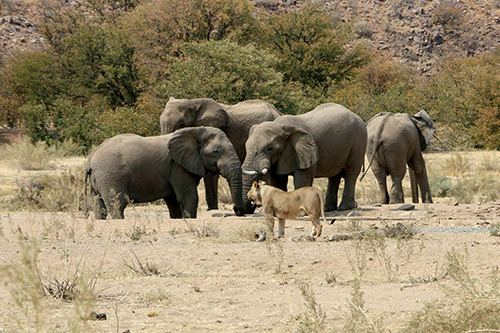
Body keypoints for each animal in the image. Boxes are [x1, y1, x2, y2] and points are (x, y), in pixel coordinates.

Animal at [85, 126, 246, 218]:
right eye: (216, 151)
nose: (237, 209)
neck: (195, 131)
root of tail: (91, 158)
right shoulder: (178, 167)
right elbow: (188, 198)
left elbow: (173, 201)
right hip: (110, 176)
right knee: (117, 204)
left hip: (99, 179)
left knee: (98, 205)